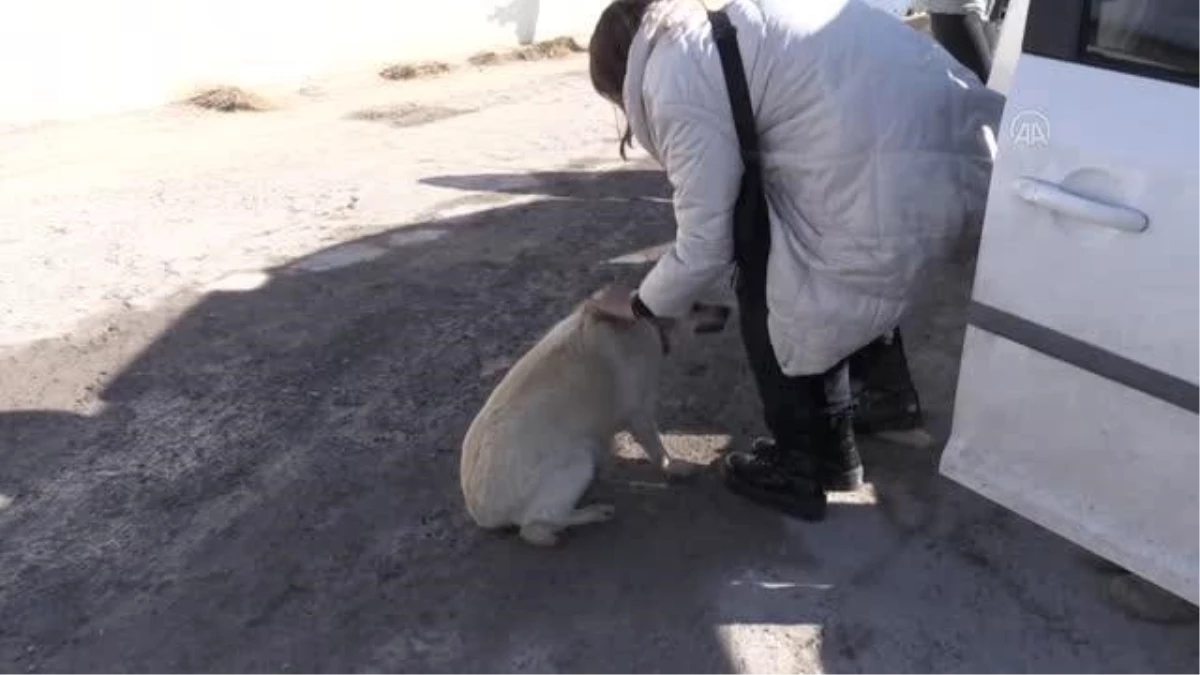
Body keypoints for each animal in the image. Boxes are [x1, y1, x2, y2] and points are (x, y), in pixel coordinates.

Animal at [458, 295, 724, 547]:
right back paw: (591, 514)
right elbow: (658, 449)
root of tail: (482, 512)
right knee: (535, 526)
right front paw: (673, 467)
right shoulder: (640, 414)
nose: (727, 310)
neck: (645, 321)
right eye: (696, 305)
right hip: (578, 460)